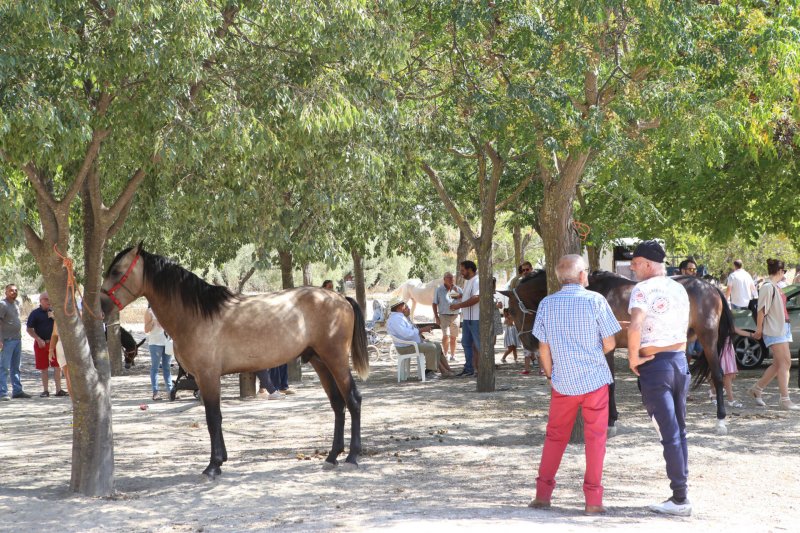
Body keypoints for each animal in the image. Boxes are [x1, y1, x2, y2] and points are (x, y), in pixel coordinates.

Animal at [101, 243, 372, 476]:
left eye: (116, 271)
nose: (102, 305)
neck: (196, 316)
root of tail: (340, 298)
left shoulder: (208, 376)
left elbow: (213, 418)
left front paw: (213, 466)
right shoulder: (205, 379)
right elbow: (216, 417)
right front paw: (221, 460)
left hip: (335, 359)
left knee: (353, 400)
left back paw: (352, 457)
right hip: (320, 361)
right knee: (337, 404)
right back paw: (332, 456)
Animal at [504, 268, 736, 434]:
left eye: (513, 309)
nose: (528, 343)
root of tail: (711, 286)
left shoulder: (606, 349)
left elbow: (610, 383)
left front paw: (611, 421)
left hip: (708, 338)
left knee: (717, 375)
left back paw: (721, 420)